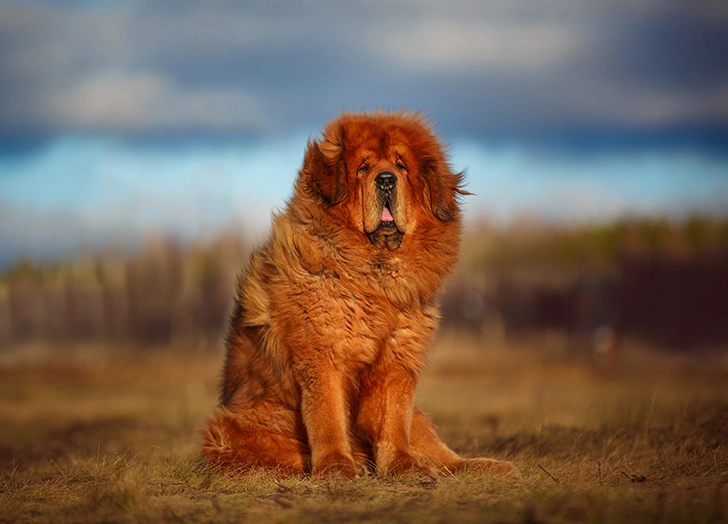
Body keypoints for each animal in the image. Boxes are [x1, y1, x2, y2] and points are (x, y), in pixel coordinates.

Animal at [200, 110, 516, 478]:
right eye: (363, 168)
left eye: (401, 166)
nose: (386, 180)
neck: (375, 277)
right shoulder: (324, 357)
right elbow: (328, 418)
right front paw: (337, 466)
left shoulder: (397, 361)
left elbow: (394, 421)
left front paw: (402, 466)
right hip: (234, 426)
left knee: (443, 455)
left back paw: (484, 467)